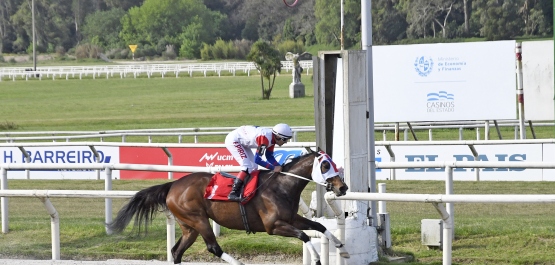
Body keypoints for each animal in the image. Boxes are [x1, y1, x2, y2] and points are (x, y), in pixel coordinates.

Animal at [107, 147, 350, 262]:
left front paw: (342, 248)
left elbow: (319, 227)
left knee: (176, 251)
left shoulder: (292, 218)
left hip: (189, 227)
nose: (343, 188)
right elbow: (304, 236)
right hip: (198, 219)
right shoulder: (273, 226)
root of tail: (173, 185)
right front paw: (317, 258)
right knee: (213, 248)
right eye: (326, 165)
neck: (282, 186)